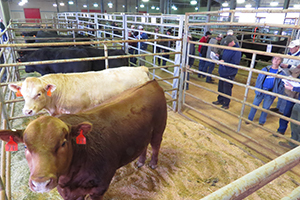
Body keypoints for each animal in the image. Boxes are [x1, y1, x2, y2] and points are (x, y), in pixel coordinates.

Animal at [0, 80, 166, 200]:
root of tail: (151, 81)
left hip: (159, 127)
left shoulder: (99, 188)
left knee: (156, 145)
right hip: (144, 133)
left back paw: (152, 163)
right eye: (26, 147)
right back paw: (140, 162)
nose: (40, 183)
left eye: (63, 143)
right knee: (144, 146)